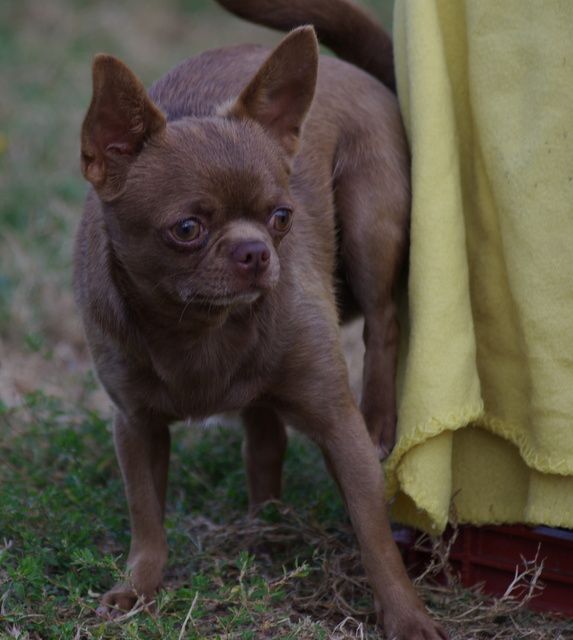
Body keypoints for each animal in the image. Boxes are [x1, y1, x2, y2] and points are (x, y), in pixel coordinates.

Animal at [72, 1, 446, 640]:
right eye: (187, 229)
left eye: (282, 217)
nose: (255, 251)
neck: (200, 329)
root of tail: (349, 69)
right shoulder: (136, 427)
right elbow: (147, 518)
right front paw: (137, 589)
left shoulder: (337, 426)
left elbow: (375, 537)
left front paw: (408, 617)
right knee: (265, 435)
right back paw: (265, 527)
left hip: (371, 218)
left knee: (384, 319)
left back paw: (378, 416)